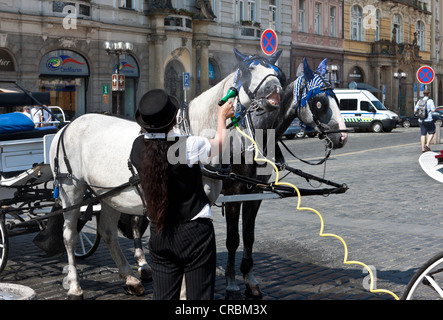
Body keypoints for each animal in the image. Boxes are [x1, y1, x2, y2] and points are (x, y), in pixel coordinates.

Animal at [49, 48, 284, 298]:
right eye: (250, 69)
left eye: (277, 71)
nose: (275, 89)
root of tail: (67, 125)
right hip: (71, 190)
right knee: (69, 236)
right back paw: (75, 285)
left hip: (109, 193)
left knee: (108, 231)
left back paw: (130, 277)